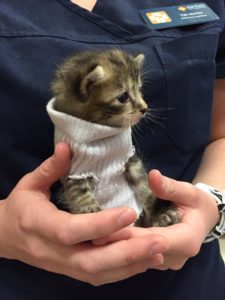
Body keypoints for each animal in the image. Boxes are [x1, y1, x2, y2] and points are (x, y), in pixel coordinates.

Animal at [48, 49, 181, 227]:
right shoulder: (75, 168)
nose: (145, 108)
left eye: (140, 90)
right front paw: (87, 206)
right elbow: (77, 188)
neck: (100, 131)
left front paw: (153, 204)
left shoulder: (130, 158)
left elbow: (143, 184)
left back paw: (164, 218)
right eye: (123, 97)